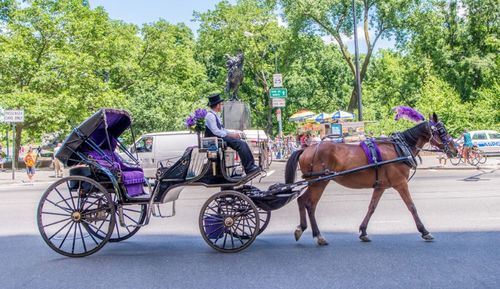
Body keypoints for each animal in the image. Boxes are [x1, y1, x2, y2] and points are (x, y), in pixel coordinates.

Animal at [286, 113, 458, 244]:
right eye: (442, 131)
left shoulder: (380, 186)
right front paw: (424, 231)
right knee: (310, 205)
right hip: (320, 182)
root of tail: (306, 149)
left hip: (315, 183)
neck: (399, 148)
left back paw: (302, 228)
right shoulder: (401, 183)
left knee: (302, 201)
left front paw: (363, 231)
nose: (455, 150)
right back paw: (318, 235)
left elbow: (372, 207)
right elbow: (411, 206)